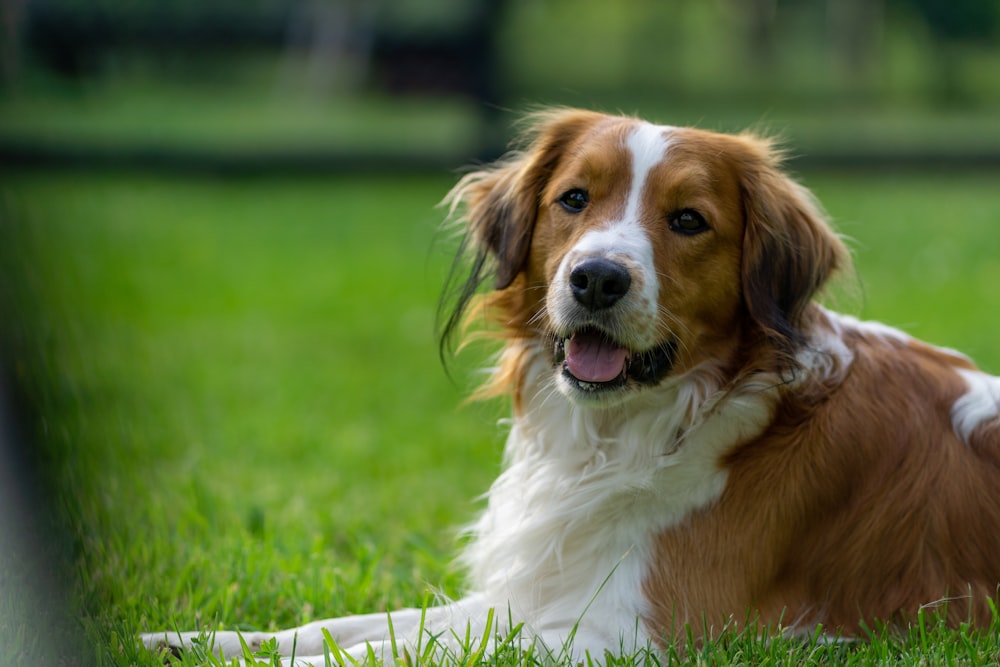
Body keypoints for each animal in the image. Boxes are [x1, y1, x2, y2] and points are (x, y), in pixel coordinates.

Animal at [141, 108, 1000, 664]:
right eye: (573, 199)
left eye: (689, 220)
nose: (596, 278)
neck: (638, 431)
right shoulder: (539, 590)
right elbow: (350, 626)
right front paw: (195, 639)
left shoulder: (632, 633)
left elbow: (391, 649)